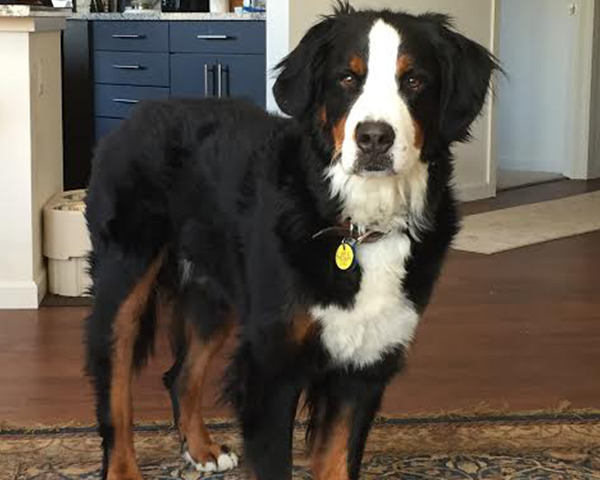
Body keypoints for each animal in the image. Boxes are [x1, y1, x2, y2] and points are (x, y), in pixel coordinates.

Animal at [84, 1, 496, 478]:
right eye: (347, 78)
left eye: (414, 80)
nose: (374, 137)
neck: (358, 225)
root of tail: (138, 112)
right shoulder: (271, 367)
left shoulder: (365, 363)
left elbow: (337, 461)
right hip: (125, 278)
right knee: (114, 388)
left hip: (215, 290)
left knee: (180, 375)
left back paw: (202, 449)